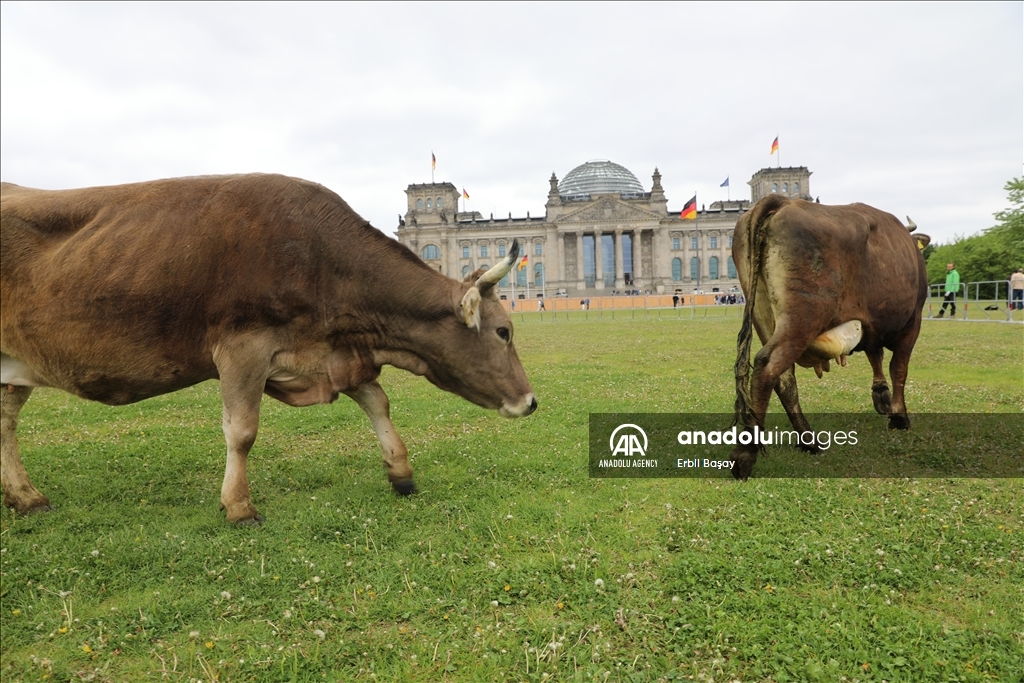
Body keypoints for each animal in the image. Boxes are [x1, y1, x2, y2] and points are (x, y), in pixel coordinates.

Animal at [0, 175, 540, 524]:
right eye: (503, 332)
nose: (531, 401)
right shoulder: (243, 350)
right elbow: (241, 432)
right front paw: (239, 506)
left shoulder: (336, 353)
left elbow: (377, 402)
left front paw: (400, 472)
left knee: (6, 423)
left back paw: (26, 497)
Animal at [729, 194, 929, 479]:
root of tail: (784, 202)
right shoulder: (913, 321)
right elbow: (899, 368)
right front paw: (899, 417)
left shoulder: (870, 324)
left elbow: (875, 355)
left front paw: (881, 394)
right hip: (803, 316)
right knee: (769, 365)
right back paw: (746, 454)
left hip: (764, 314)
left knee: (784, 378)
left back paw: (809, 440)